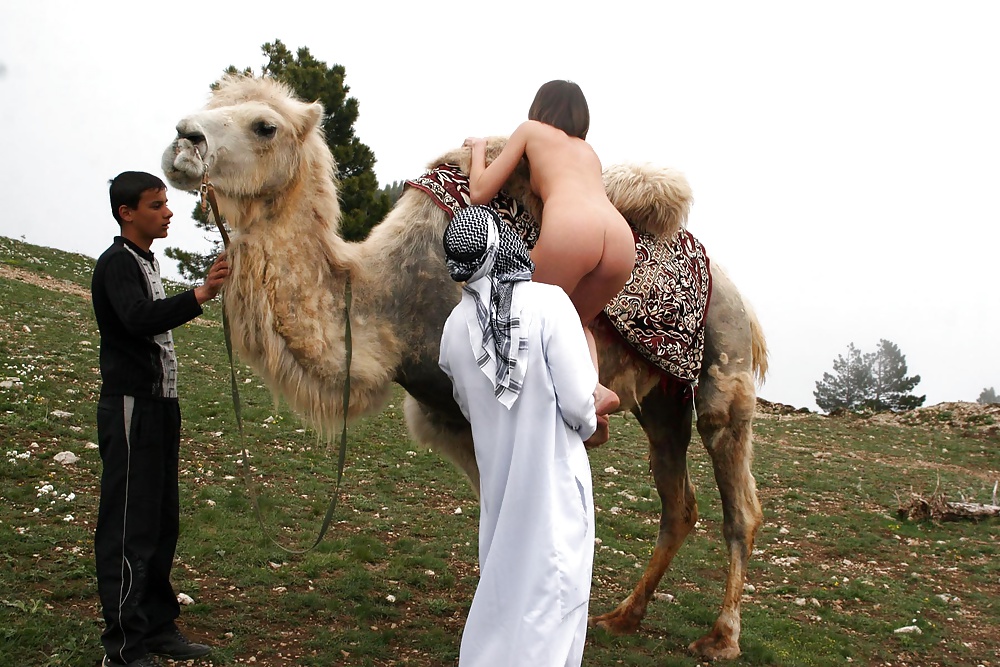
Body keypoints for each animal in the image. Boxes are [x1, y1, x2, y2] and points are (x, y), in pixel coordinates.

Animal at [162, 75, 766, 660]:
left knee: (738, 505)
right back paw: (622, 616)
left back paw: (722, 637)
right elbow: (491, 515)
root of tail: (736, 292)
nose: (183, 139)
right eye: (213, 99)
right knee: (678, 503)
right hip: (663, 400)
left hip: (725, 371)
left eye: (264, 125)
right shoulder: (446, 417)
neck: (390, 304)